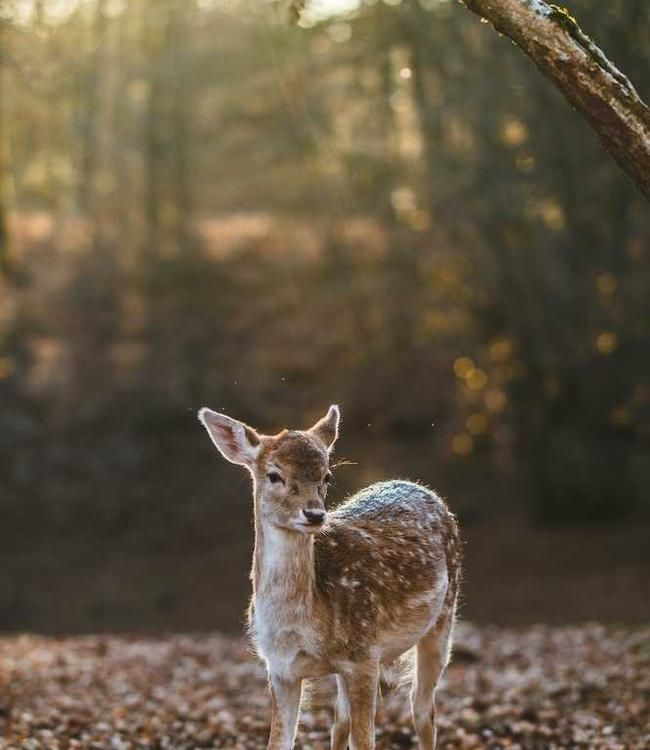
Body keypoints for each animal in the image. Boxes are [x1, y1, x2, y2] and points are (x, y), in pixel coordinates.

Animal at [197, 406, 460, 750]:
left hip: (444, 617)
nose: (314, 514)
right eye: (274, 474)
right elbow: (279, 742)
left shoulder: (365, 655)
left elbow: (365, 742)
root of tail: (418, 486)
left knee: (423, 709)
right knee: (340, 721)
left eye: (326, 476)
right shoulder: (279, 668)